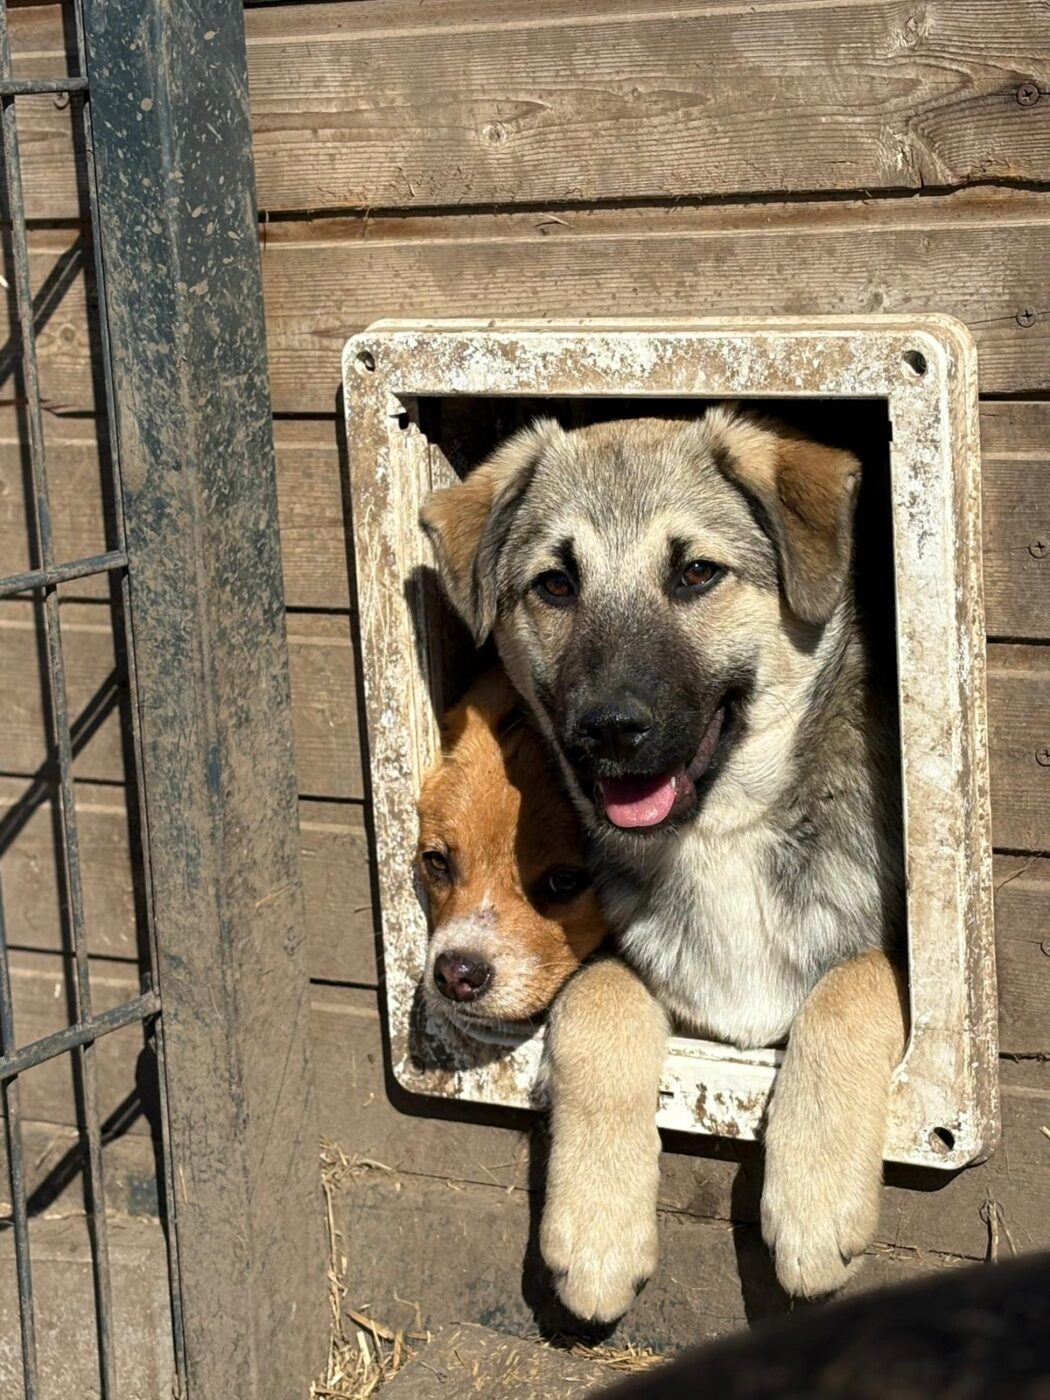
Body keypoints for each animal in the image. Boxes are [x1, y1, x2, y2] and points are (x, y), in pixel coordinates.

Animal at [421, 407, 909, 1317]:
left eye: (695, 573)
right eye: (555, 585)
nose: (610, 729)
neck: (720, 837)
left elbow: (853, 983)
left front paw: (815, 1200)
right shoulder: (632, 972)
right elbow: (596, 1001)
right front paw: (597, 1230)